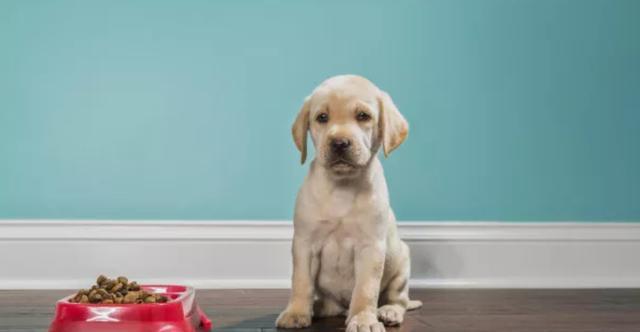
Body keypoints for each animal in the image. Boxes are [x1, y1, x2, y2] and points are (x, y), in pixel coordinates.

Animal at [276, 75, 420, 332]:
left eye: (363, 116)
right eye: (322, 117)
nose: (340, 143)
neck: (342, 186)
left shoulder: (370, 248)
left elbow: (365, 290)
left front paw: (363, 319)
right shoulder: (304, 244)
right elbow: (301, 282)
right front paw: (296, 312)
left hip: (402, 262)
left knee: (398, 299)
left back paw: (388, 311)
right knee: (327, 303)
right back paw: (317, 307)